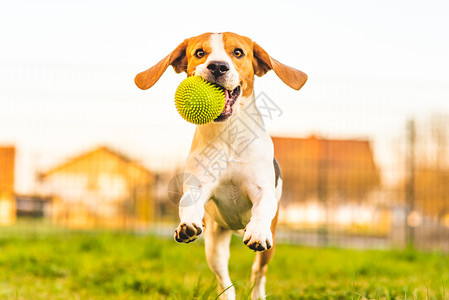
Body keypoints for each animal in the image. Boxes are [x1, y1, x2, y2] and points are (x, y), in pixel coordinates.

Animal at [135, 32, 306, 300]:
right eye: (199, 53)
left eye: (238, 53)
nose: (217, 66)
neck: (228, 133)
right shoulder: (197, 187)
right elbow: (188, 204)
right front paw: (186, 226)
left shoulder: (262, 190)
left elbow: (261, 208)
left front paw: (257, 231)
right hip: (214, 244)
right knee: (224, 278)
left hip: (270, 245)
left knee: (258, 272)